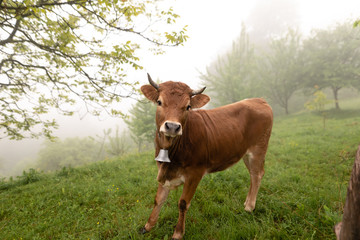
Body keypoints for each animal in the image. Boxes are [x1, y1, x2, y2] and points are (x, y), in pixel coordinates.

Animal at [140, 74, 272, 239]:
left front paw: (178, 232)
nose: (172, 126)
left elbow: (183, 203)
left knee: (257, 174)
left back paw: (249, 207)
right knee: (253, 175)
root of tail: (259, 100)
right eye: (159, 102)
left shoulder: (195, 173)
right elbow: (159, 199)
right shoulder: (163, 171)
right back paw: (247, 202)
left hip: (258, 149)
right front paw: (148, 226)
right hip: (246, 153)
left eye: (188, 106)